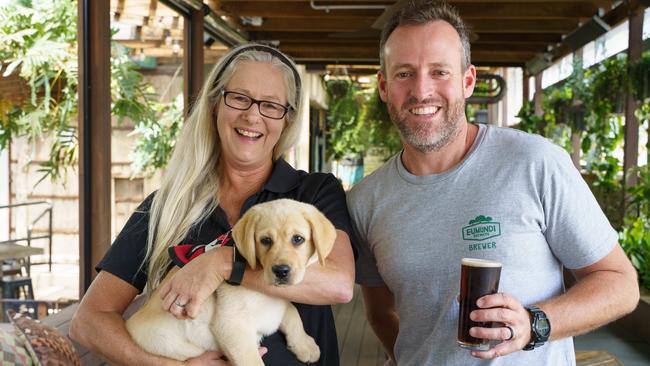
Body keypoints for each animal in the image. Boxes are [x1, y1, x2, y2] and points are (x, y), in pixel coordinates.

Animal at [125, 199, 334, 364]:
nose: (281, 271)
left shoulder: (278, 301)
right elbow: (252, 360)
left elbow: (292, 313)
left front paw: (305, 345)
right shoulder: (232, 325)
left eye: (298, 239)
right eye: (265, 240)